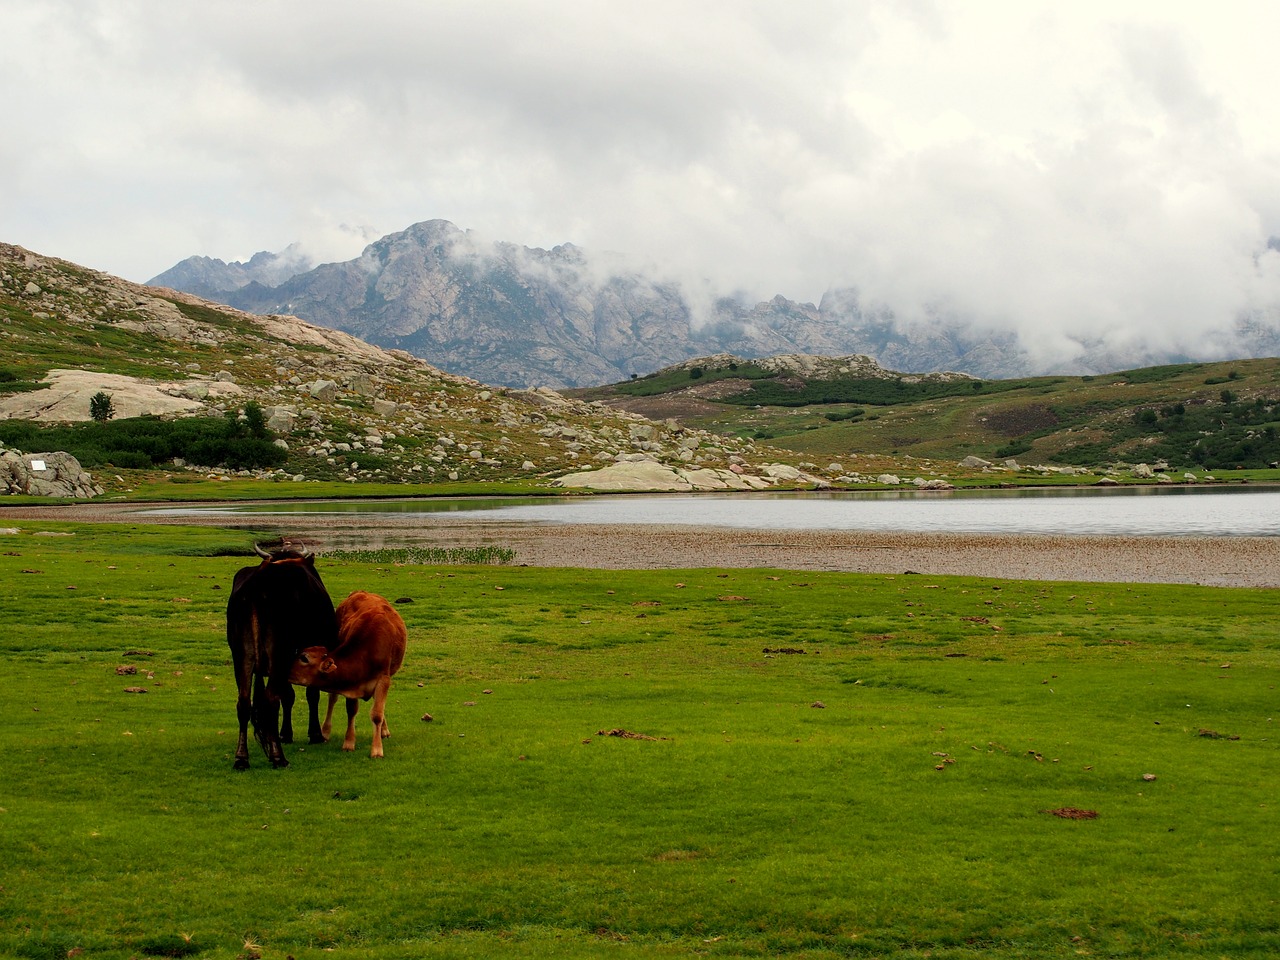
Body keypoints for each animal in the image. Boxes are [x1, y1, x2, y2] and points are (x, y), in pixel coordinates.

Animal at [225, 545, 337, 773]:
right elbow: (311, 694)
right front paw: (315, 734)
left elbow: (288, 695)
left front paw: (285, 733)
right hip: (278, 654)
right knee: (270, 701)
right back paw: (278, 757)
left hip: (241, 656)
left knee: (244, 703)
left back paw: (241, 758)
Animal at [289, 593, 404, 757]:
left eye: (304, 658)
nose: (284, 669)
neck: (367, 652)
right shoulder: (351, 684)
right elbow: (351, 710)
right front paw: (349, 742)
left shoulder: (383, 678)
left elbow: (377, 714)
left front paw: (376, 749)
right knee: (332, 699)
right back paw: (325, 731)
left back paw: (384, 730)